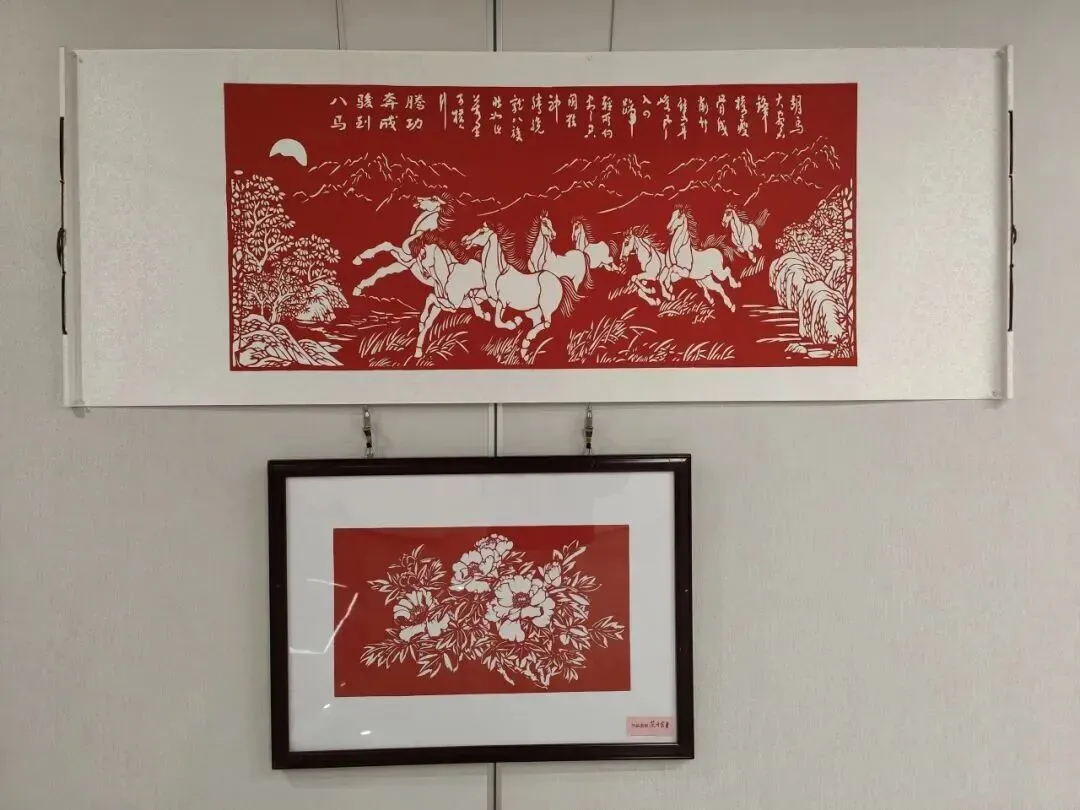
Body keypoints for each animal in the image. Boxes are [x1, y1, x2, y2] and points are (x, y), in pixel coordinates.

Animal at [463, 223, 578, 362]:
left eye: (481, 232)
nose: (464, 241)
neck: (498, 273)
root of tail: (558, 279)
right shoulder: (488, 295)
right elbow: (472, 295)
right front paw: (483, 315)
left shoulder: (502, 302)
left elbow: (498, 322)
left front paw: (514, 322)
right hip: (534, 311)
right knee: (538, 323)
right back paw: (525, 350)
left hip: (545, 308)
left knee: (546, 324)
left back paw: (527, 340)